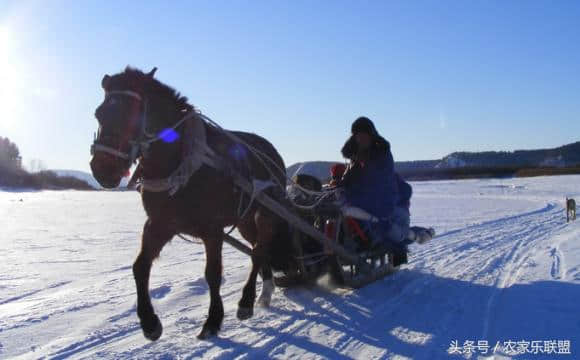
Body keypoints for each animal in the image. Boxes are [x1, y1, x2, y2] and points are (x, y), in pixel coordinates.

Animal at [90, 67, 294, 340]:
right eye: (99, 113)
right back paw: (265, 292)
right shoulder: (159, 224)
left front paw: (213, 321)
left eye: (131, 114)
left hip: (266, 213)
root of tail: (272, 151)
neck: (180, 161)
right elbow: (140, 267)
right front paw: (150, 323)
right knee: (258, 249)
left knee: (260, 250)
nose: (103, 169)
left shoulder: (212, 229)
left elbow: (213, 274)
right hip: (245, 219)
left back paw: (247, 302)